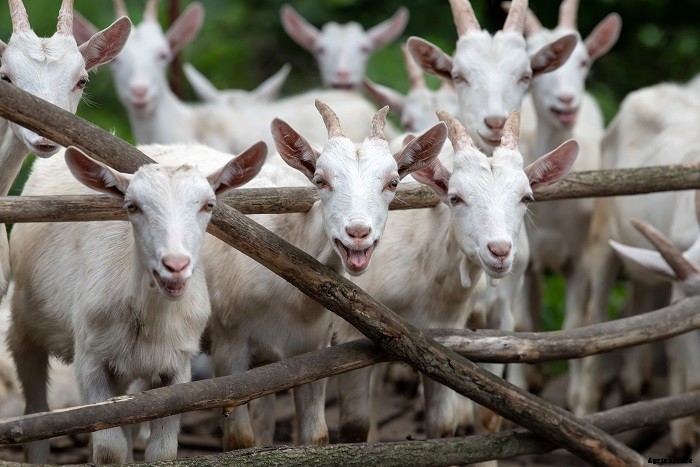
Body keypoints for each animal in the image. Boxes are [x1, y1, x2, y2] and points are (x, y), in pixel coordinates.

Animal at [8, 142, 267, 464]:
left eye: (209, 205)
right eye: (132, 206)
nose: (176, 265)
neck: (150, 317)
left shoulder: (177, 367)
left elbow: (162, 450)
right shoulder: (90, 360)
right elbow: (109, 450)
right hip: (22, 326)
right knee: (36, 411)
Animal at [334, 110, 578, 443]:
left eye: (526, 197)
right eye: (455, 198)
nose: (499, 251)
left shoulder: (454, 339)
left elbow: (450, 424)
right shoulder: (352, 330)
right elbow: (355, 424)